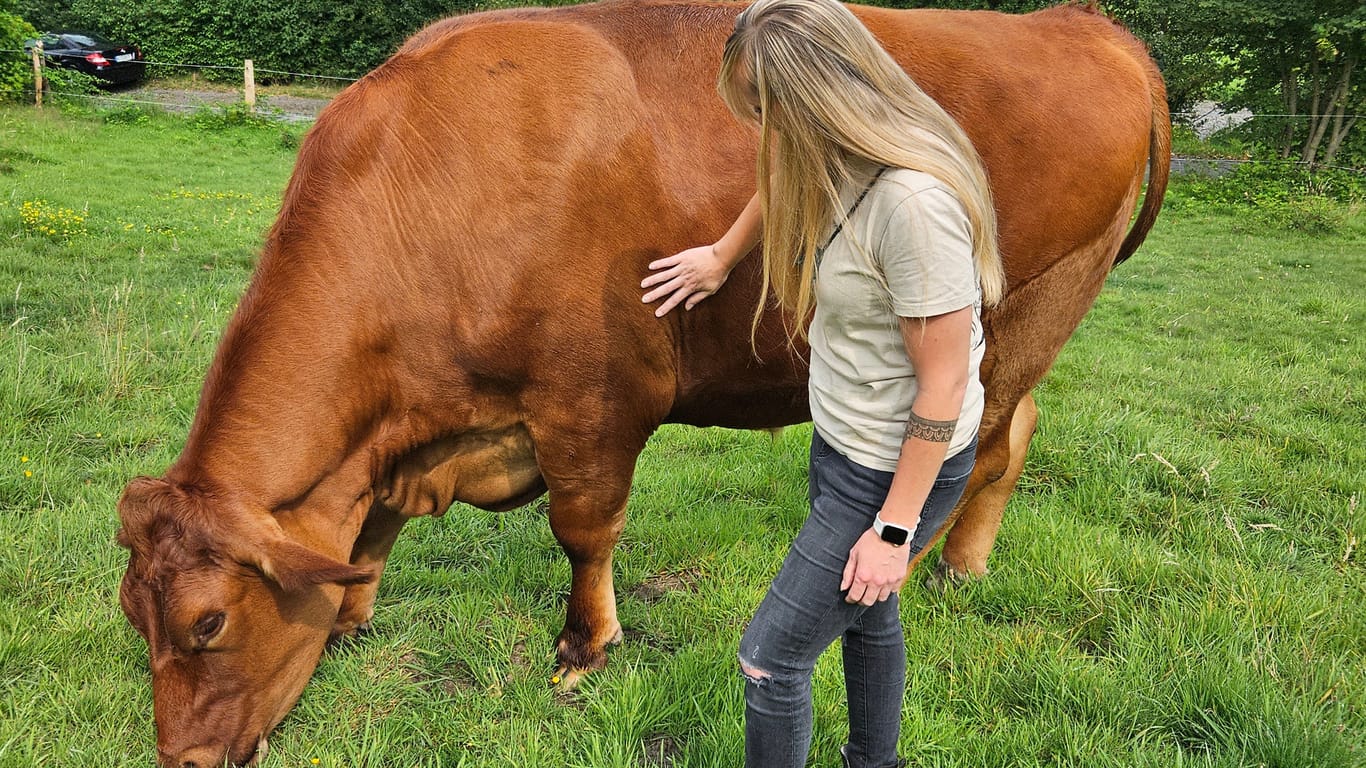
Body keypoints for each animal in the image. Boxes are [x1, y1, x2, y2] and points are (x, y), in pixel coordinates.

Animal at [114, 0, 1174, 759]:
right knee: (1012, 433)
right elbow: (367, 534)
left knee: (988, 441)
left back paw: (949, 565)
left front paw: (583, 648)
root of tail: (1082, 24)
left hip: (1035, 305)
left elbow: (583, 528)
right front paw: (352, 617)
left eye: (209, 623)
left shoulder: (591, 401)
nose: (183, 758)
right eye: (133, 612)